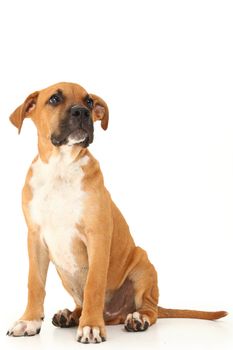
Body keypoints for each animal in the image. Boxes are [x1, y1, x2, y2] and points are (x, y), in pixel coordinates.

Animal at [5, 82, 228, 344]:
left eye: (89, 101)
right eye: (54, 99)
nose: (82, 112)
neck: (61, 167)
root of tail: (114, 314)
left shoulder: (97, 237)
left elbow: (94, 285)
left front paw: (91, 326)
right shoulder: (35, 238)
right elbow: (35, 283)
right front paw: (29, 321)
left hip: (143, 266)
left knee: (149, 309)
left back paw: (136, 319)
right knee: (83, 304)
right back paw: (70, 315)